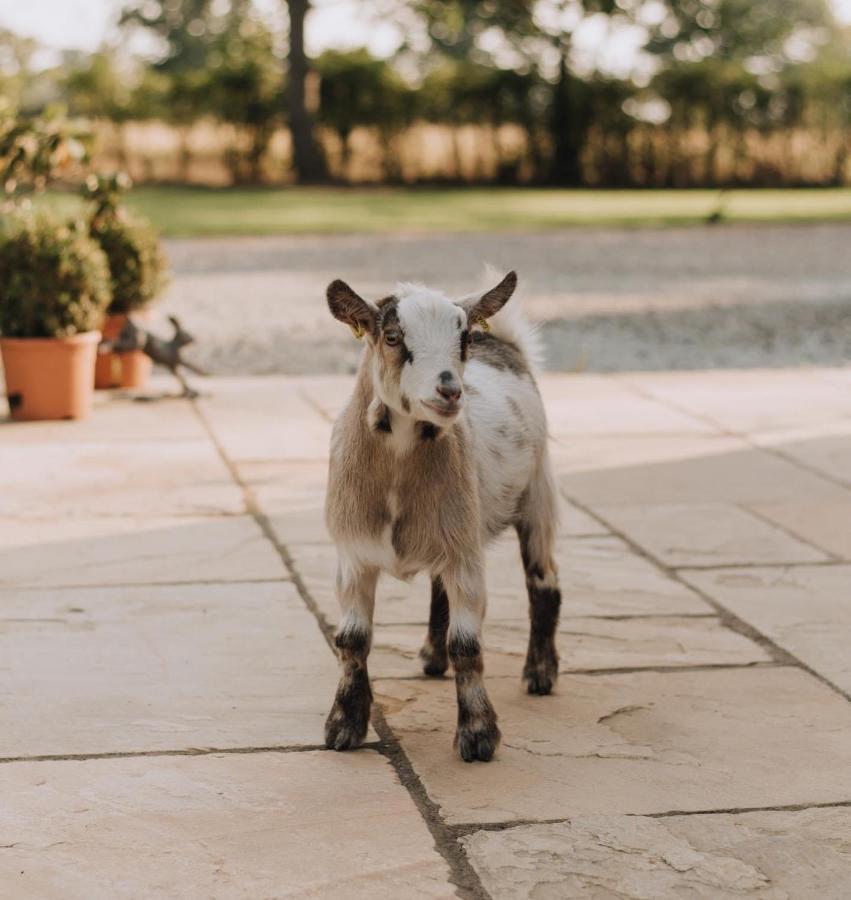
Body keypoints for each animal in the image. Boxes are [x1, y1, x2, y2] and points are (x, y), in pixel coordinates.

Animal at [324, 268, 560, 760]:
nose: (449, 390)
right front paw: (343, 726)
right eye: (392, 336)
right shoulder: (353, 554)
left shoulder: (466, 557)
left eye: (462, 338)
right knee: (438, 589)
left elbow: (467, 645)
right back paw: (432, 657)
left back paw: (540, 673)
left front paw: (478, 735)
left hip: (537, 494)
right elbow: (352, 641)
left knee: (543, 581)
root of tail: (504, 343)